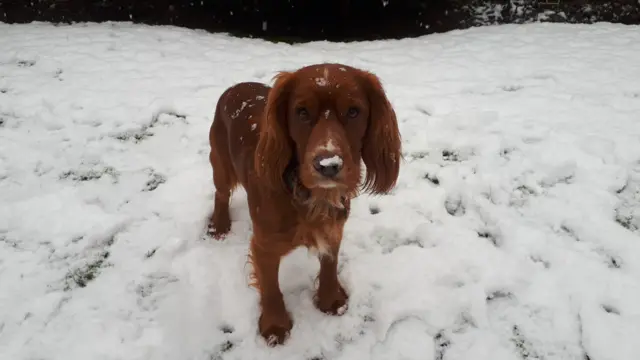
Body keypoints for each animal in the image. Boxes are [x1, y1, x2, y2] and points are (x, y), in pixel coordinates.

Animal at [209, 62, 400, 346]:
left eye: (354, 111)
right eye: (301, 112)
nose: (328, 165)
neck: (310, 197)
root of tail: (235, 87)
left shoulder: (333, 228)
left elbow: (330, 263)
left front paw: (331, 300)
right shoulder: (264, 245)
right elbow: (271, 287)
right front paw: (275, 325)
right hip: (220, 164)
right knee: (221, 194)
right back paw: (219, 226)